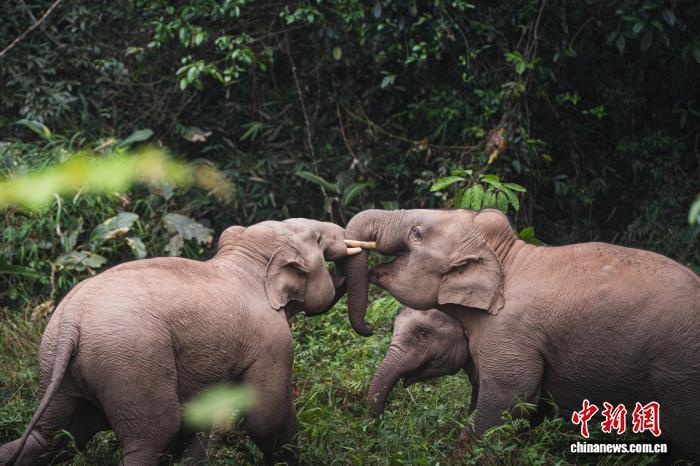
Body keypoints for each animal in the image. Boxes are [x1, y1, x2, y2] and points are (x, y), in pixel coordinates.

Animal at [0, 218, 359, 466]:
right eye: (318, 239)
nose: (343, 265)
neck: (244, 261)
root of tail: (71, 320)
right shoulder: (273, 343)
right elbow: (265, 416)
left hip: (58, 363)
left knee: (54, 438)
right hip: (131, 360)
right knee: (151, 435)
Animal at [343, 208, 700, 459]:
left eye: (422, 334)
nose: (368, 327)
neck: (507, 257)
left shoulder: (509, 333)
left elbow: (510, 396)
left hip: (679, 371)